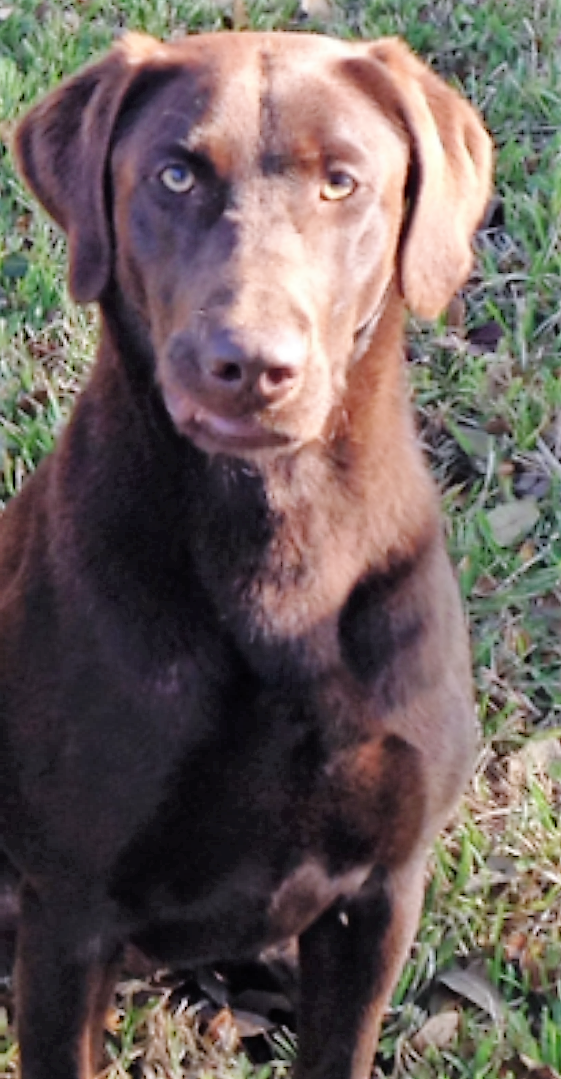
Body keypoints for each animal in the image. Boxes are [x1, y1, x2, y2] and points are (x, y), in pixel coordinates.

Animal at [0, 29, 487, 1079]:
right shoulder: (70, 911)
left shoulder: (380, 892)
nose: (251, 364)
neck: (279, 545)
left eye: (342, 182)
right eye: (175, 175)